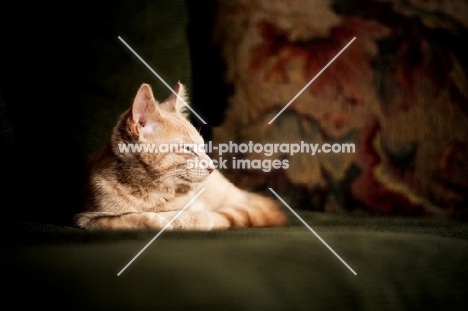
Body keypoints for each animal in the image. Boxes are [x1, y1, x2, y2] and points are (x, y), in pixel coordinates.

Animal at [74, 84, 286, 230]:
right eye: (187, 148)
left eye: (202, 147)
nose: (211, 167)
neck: (150, 192)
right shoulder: (86, 216)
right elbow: (128, 219)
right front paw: (155, 219)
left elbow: (198, 216)